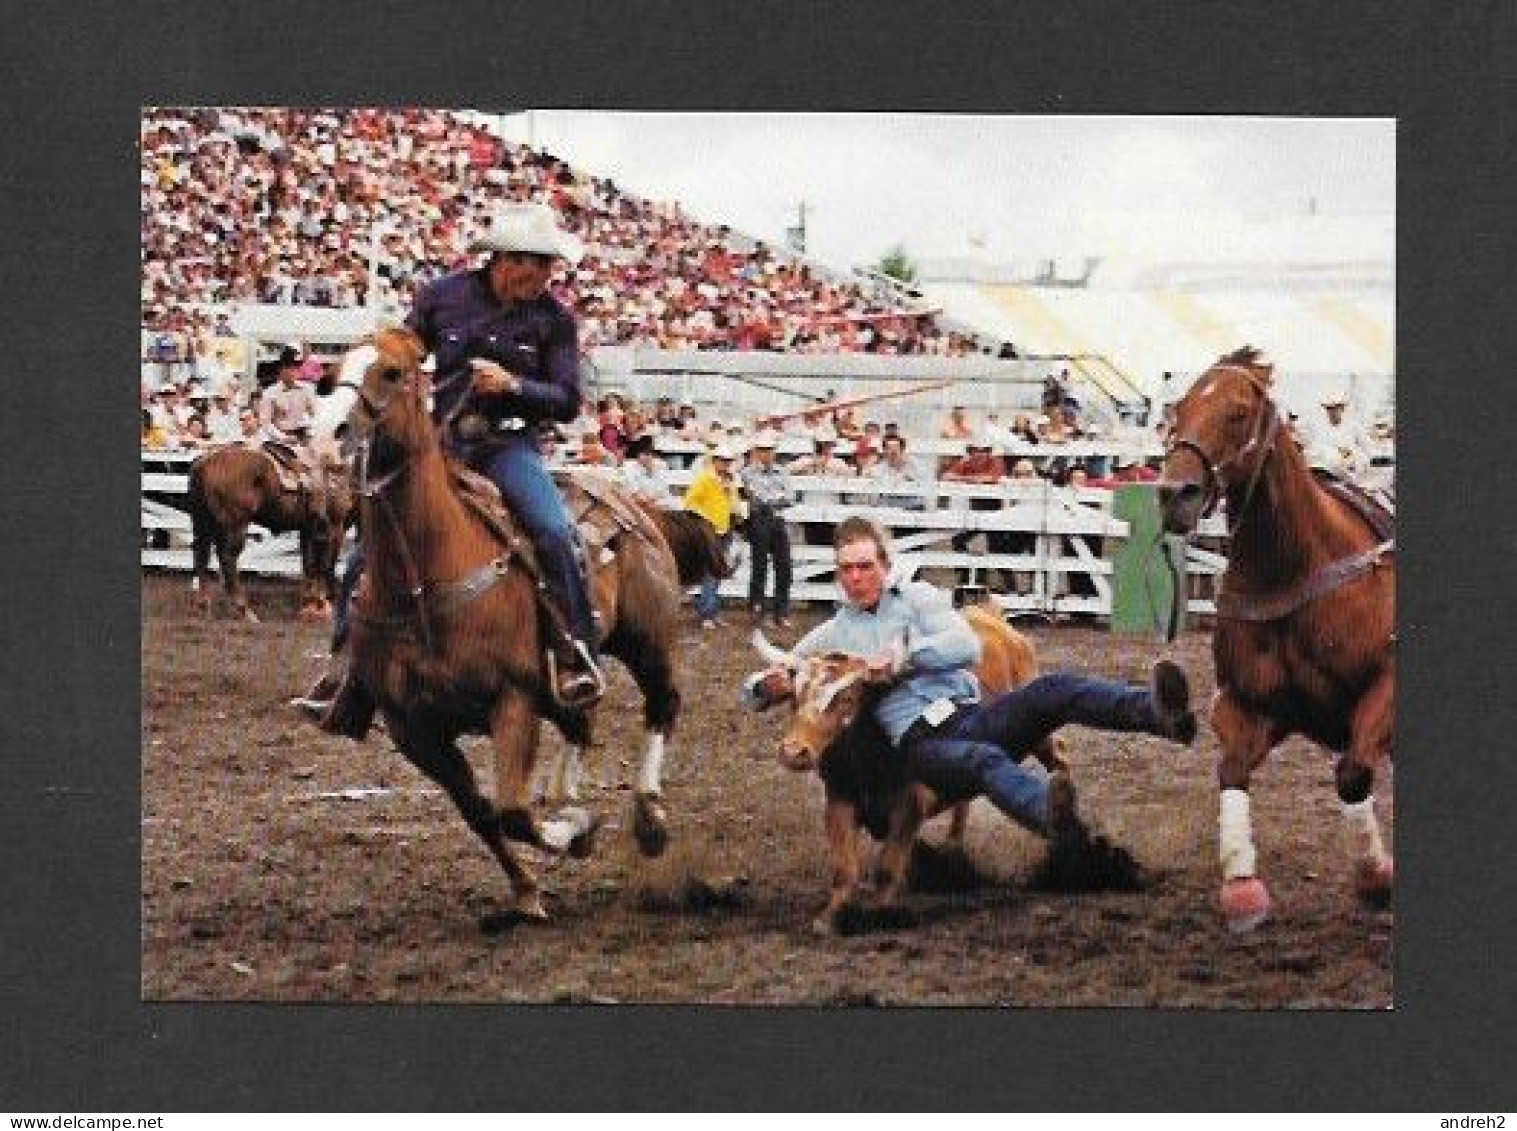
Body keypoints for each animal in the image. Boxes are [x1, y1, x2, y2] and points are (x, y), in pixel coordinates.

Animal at [335, 324, 685, 915]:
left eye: (392, 372)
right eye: (333, 367)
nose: (331, 431)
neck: (422, 584)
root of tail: (633, 501)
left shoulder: (514, 699)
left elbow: (514, 812)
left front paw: (576, 831)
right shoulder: (415, 731)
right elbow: (483, 814)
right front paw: (527, 891)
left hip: (648, 640)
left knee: (662, 705)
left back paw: (650, 817)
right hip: (567, 675)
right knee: (581, 716)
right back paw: (567, 792)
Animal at [1158, 348, 1395, 927]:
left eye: (1238, 412)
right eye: (1178, 409)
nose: (1174, 494)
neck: (1295, 570)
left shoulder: (1386, 688)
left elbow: (1353, 773)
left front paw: (1376, 875)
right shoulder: (1252, 705)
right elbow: (1232, 769)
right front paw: (1242, 885)